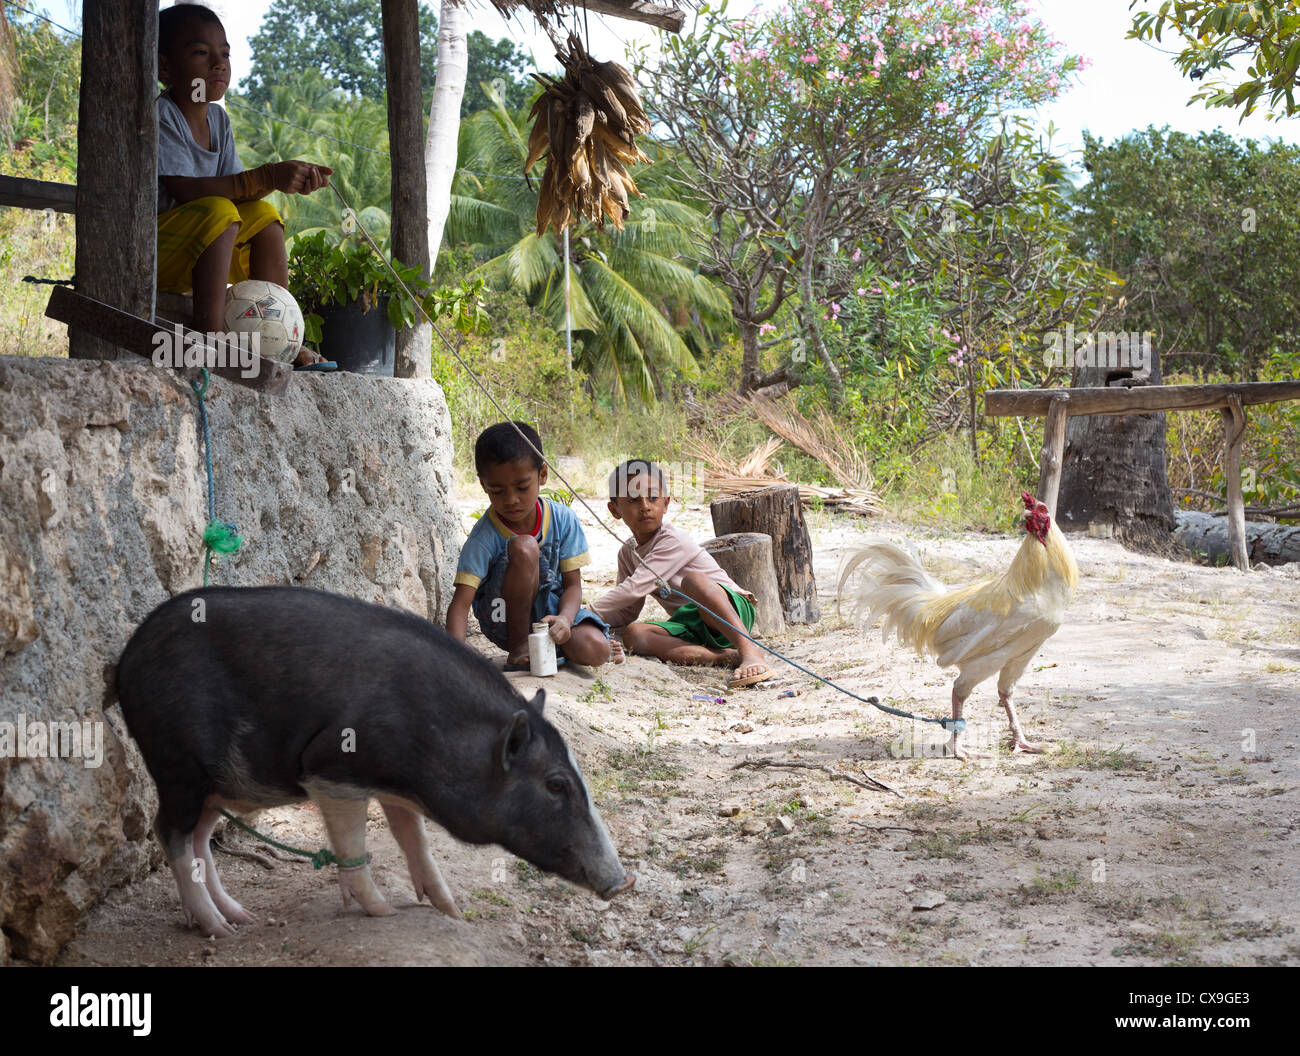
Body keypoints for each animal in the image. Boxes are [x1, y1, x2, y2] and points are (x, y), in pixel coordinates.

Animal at [114, 585, 631, 941]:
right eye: (556, 785)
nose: (621, 883)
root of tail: (125, 661)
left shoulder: (393, 790)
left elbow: (416, 845)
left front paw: (451, 912)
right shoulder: (331, 771)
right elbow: (354, 848)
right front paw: (384, 913)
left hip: (214, 784)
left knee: (200, 837)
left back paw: (240, 917)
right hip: (176, 765)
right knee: (170, 833)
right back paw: (220, 931)